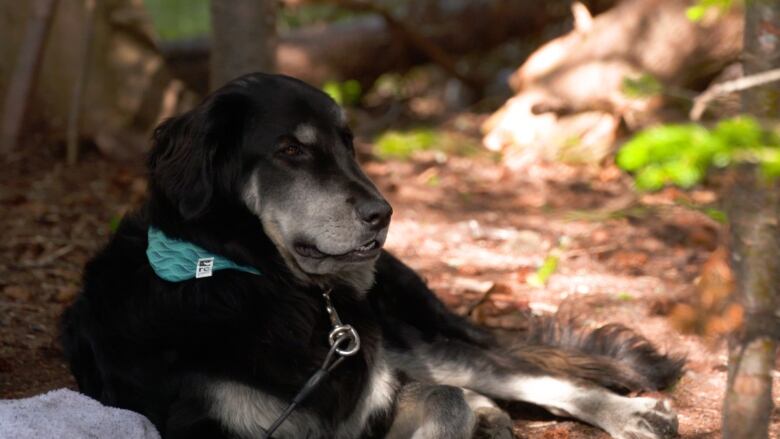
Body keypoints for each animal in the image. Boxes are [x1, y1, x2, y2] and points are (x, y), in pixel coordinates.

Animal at [61, 74, 684, 438]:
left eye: (349, 143)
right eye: (290, 150)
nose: (384, 214)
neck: (269, 285)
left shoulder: (372, 387)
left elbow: (447, 400)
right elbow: (448, 400)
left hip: (406, 340)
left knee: (518, 373)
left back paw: (632, 414)